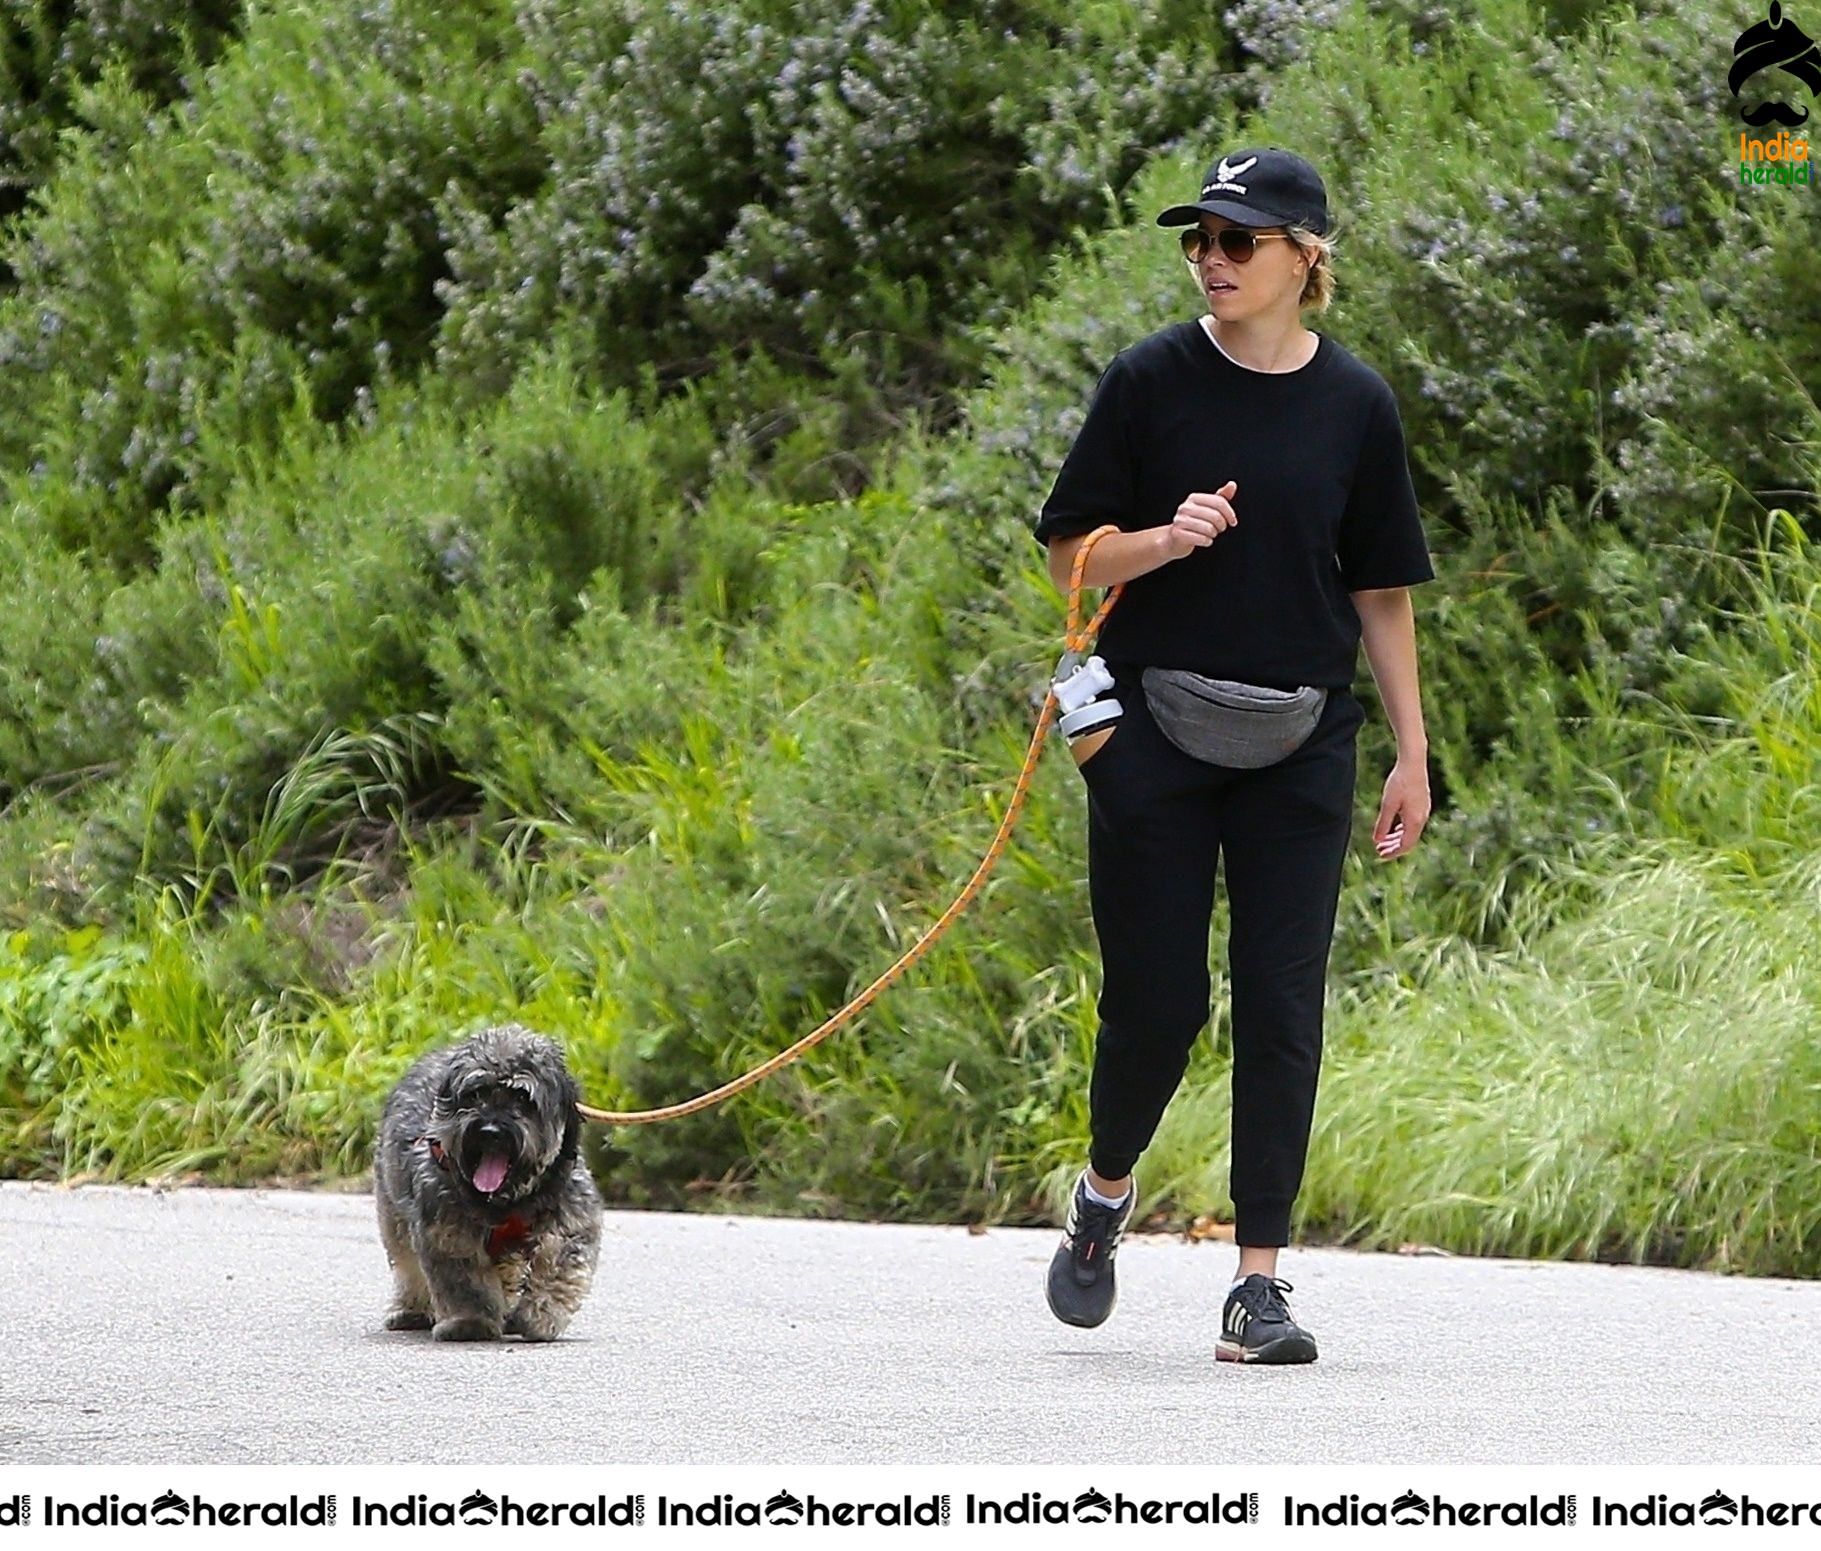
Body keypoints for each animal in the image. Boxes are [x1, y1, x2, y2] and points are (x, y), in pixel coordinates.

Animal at [376, 1026, 604, 1339]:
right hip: (394, 1213)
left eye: (523, 1097)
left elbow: (557, 1266)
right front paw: (471, 1322)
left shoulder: (572, 1220)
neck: (506, 1200)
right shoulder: (448, 1233)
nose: (490, 1131)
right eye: (476, 1093)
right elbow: (467, 1284)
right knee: (407, 1265)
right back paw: (411, 1311)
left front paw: (539, 1316)